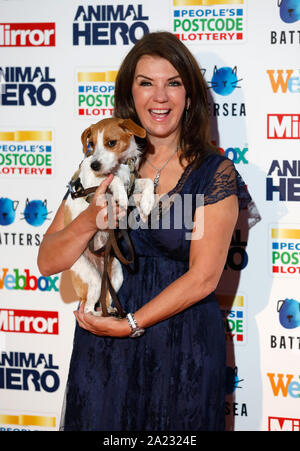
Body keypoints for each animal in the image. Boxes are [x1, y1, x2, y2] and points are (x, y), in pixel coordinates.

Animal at [65, 118, 155, 316]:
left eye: (111, 143)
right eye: (91, 144)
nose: (95, 165)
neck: (120, 166)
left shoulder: (133, 183)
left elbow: (147, 182)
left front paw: (147, 203)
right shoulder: (94, 182)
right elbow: (113, 179)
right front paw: (120, 195)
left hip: (116, 274)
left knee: (105, 299)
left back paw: (112, 311)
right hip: (91, 278)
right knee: (88, 308)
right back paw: (98, 315)